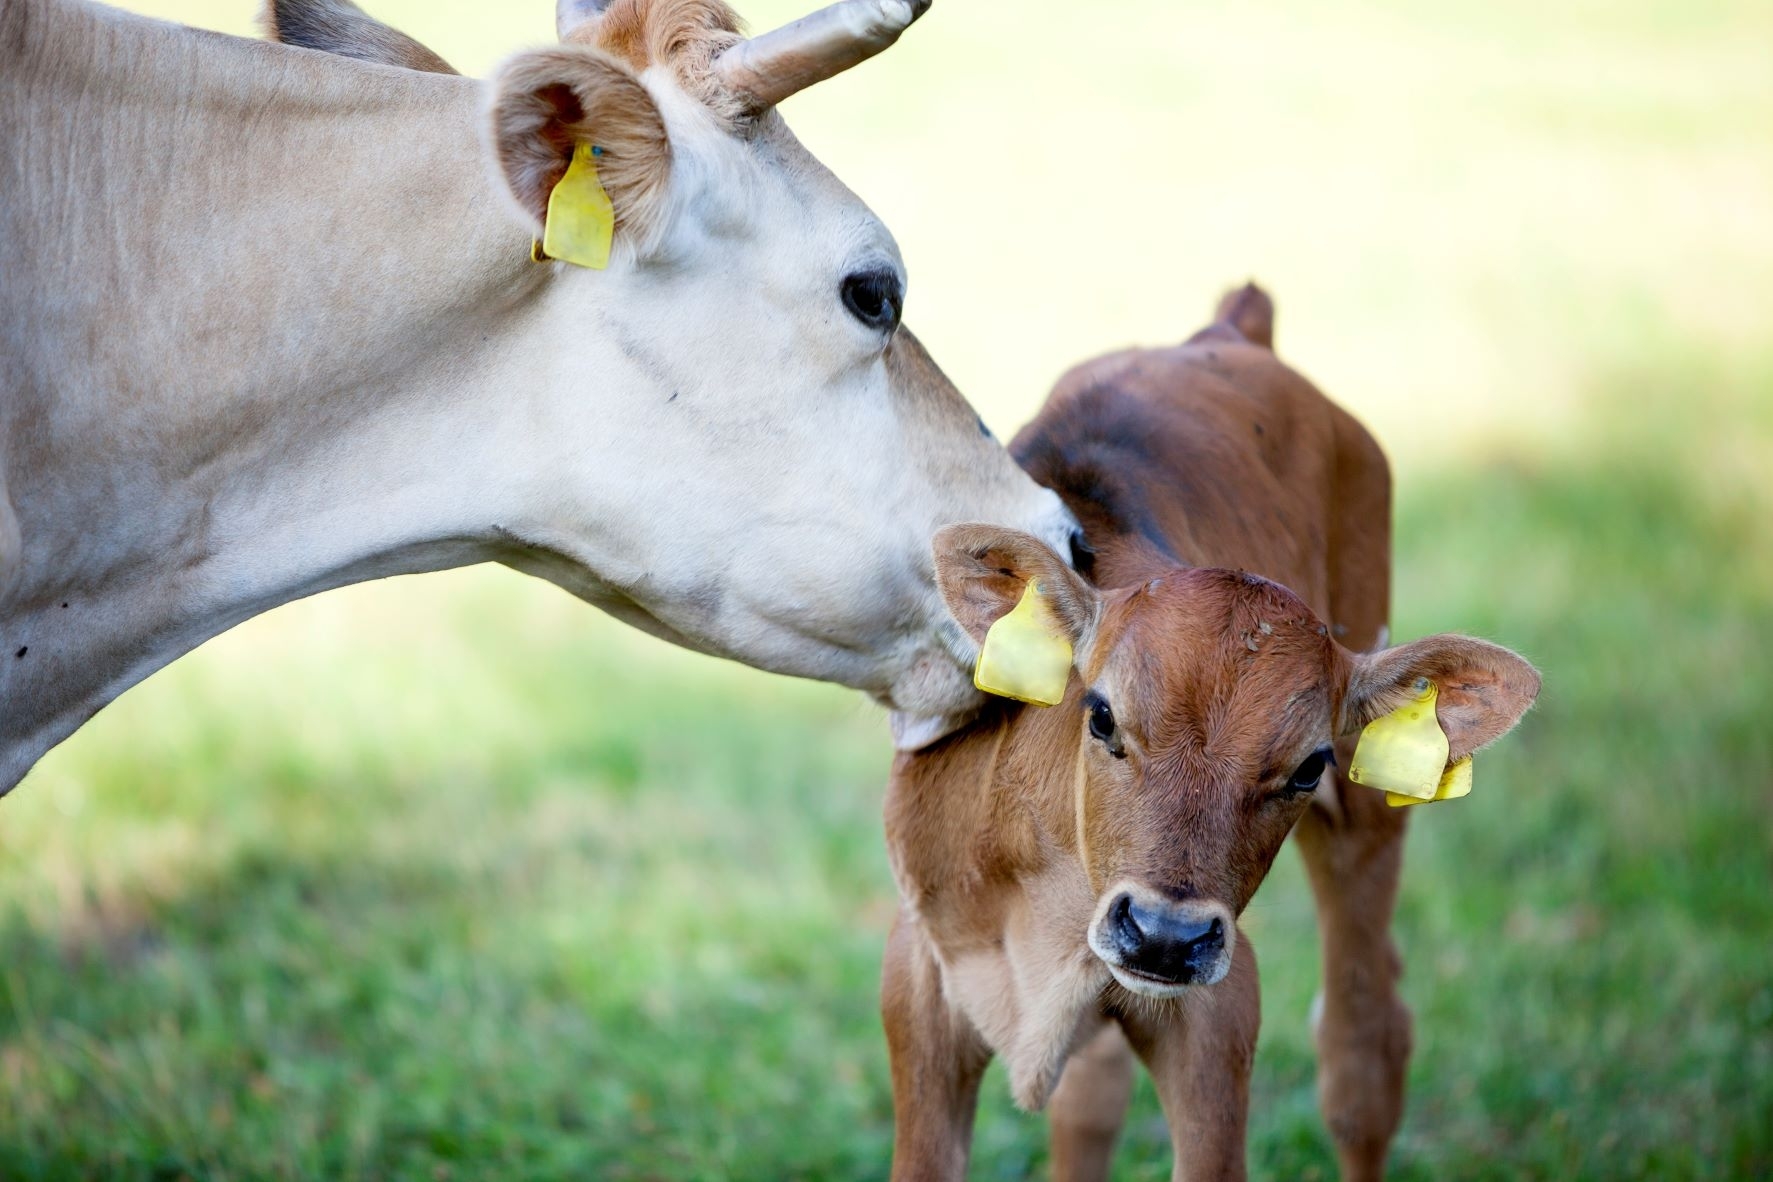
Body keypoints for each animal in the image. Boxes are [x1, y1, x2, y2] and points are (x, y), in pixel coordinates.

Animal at [882, 288, 1538, 1182]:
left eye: (1307, 766)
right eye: (1100, 714)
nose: (1165, 937)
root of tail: (1232, 328)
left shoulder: (1220, 1004)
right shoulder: (918, 970)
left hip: (1366, 823)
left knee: (1363, 1050)